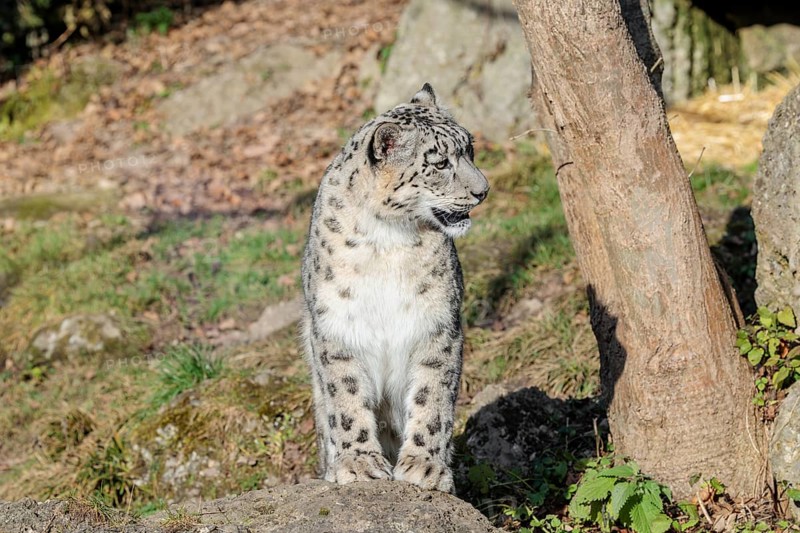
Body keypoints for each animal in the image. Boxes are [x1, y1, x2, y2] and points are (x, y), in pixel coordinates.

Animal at [300, 83, 489, 493]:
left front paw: (425, 467)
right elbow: (347, 397)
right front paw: (358, 463)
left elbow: (432, 397)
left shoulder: (437, 324)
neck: (386, 243)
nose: (483, 191)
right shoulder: (338, 326)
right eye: (439, 163)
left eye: (470, 149)